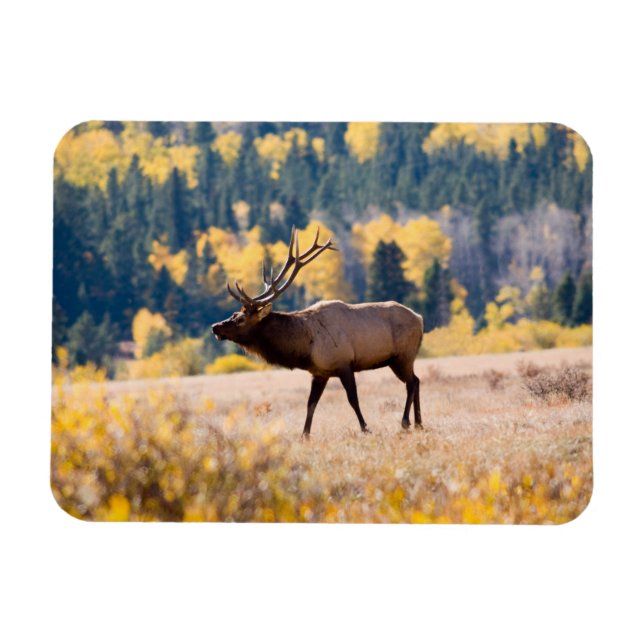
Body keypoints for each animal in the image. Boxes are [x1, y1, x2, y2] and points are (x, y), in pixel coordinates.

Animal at [211, 226, 424, 437]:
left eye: (240, 319)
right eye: (234, 313)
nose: (215, 327)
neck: (305, 347)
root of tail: (420, 318)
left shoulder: (344, 363)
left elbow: (353, 399)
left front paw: (365, 428)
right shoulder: (319, 372)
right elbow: (311, 404)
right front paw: (304, 435)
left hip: (403, 355)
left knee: (411, 383)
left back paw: (406, 422)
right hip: (401, 359)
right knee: (416, 380)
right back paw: (419, 423)